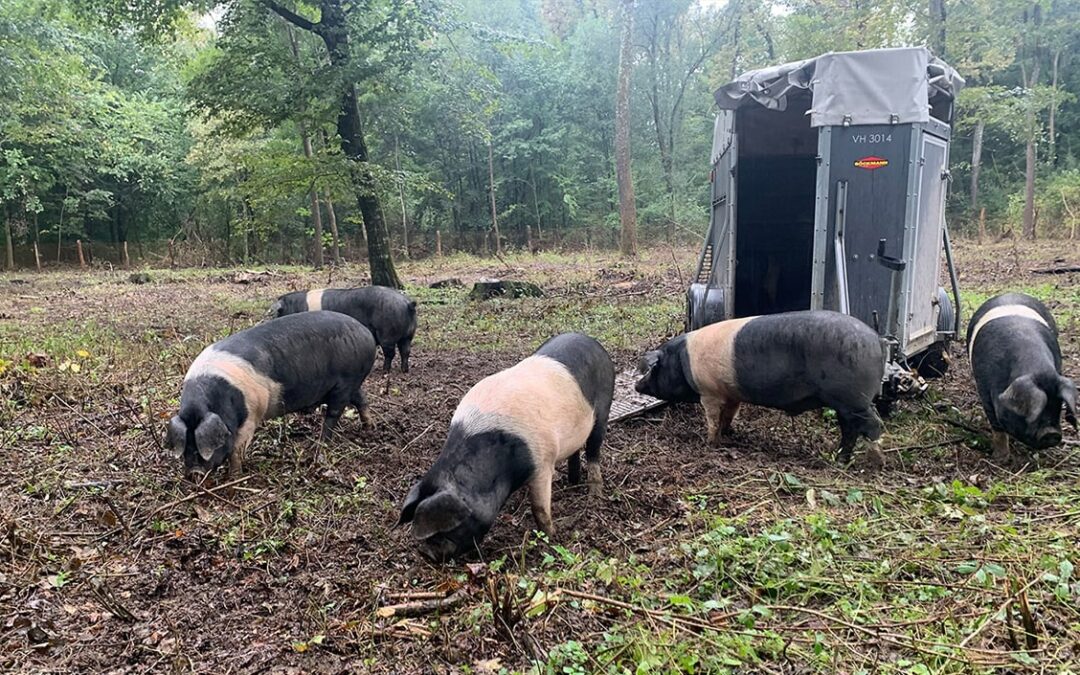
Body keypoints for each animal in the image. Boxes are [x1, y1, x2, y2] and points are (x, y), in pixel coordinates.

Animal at [163, 311, 375, 477]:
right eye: (185, 447)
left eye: (203, 446)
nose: (194, 472)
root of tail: (366, 332)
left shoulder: (251, 416)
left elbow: (236, 451)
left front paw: (234, 477)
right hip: (351, 383)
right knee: (360, 399)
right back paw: (369, 427)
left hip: (346, 382)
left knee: (334, 414)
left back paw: (321, 446)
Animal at [268, 282, 416, 371]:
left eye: (279, 312)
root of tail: (408, 304)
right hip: (408, 335)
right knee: (405, 351)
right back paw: (404, 370)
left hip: (387, 333)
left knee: (391, 353)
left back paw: (384, 370)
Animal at [399, 330, 617, 557]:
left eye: (452, 528)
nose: (426, 552)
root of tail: (593, 342)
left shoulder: (542, 462)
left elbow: (540, 508)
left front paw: (552, 537)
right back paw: (572, 482)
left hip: (604, 409)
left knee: (593, 451)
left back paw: (595, 495)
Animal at [635, 308, 881, 462]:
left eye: (654, 369)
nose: (637, 386)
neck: (682, 360)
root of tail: (877, 340)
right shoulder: (731, 393)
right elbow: (728, 415)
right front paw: (729, 433)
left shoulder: (709, 392)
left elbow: (713, 419)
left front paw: (710, 442)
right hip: (849, 402)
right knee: (853, 428)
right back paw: (840, 458)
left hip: (851, 398)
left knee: (870, 425)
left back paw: (870, 460)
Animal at [967, 291, 1075, 460]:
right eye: (1029, 409)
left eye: (1059, 405)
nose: (1051, 433)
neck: (1035, 367)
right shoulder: (984, 389)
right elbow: (997, 427)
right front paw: (1001, 459)